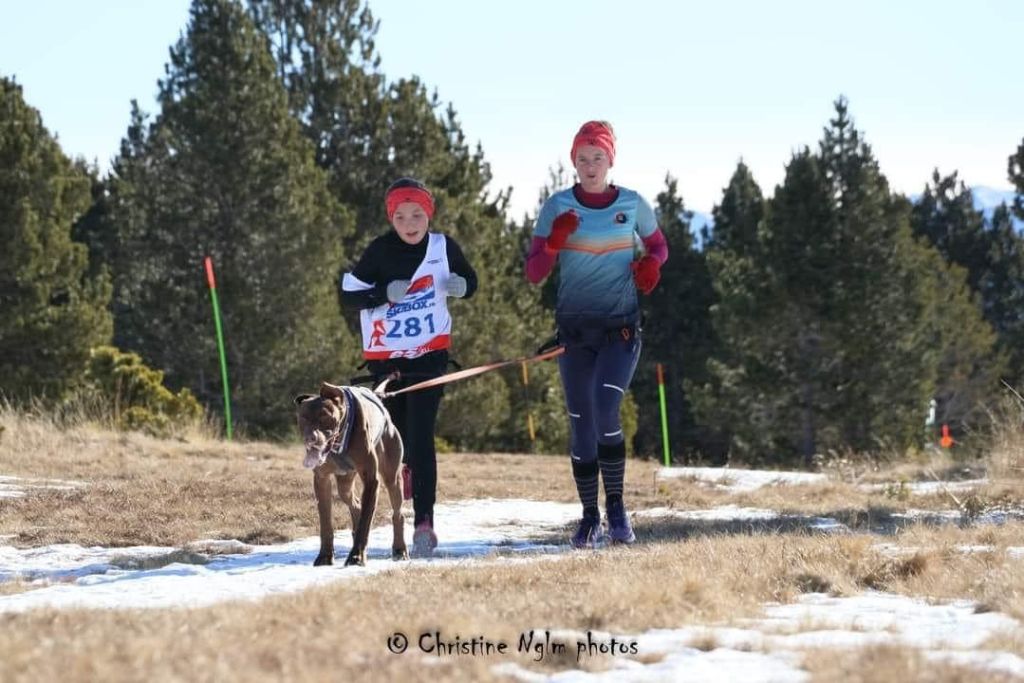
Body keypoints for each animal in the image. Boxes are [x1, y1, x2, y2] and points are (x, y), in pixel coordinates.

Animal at [294, 378, 405, 565]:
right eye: (303, 417)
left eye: (325, 416)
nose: (310, 438)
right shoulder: (321, 480)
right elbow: (325, 522)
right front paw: (325, 555)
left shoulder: (371, 479)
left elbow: (366, 521)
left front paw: (356, 555)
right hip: (345, 481)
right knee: (355, 503)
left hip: (392, 476)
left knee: (397, 512)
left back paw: (399, 549)